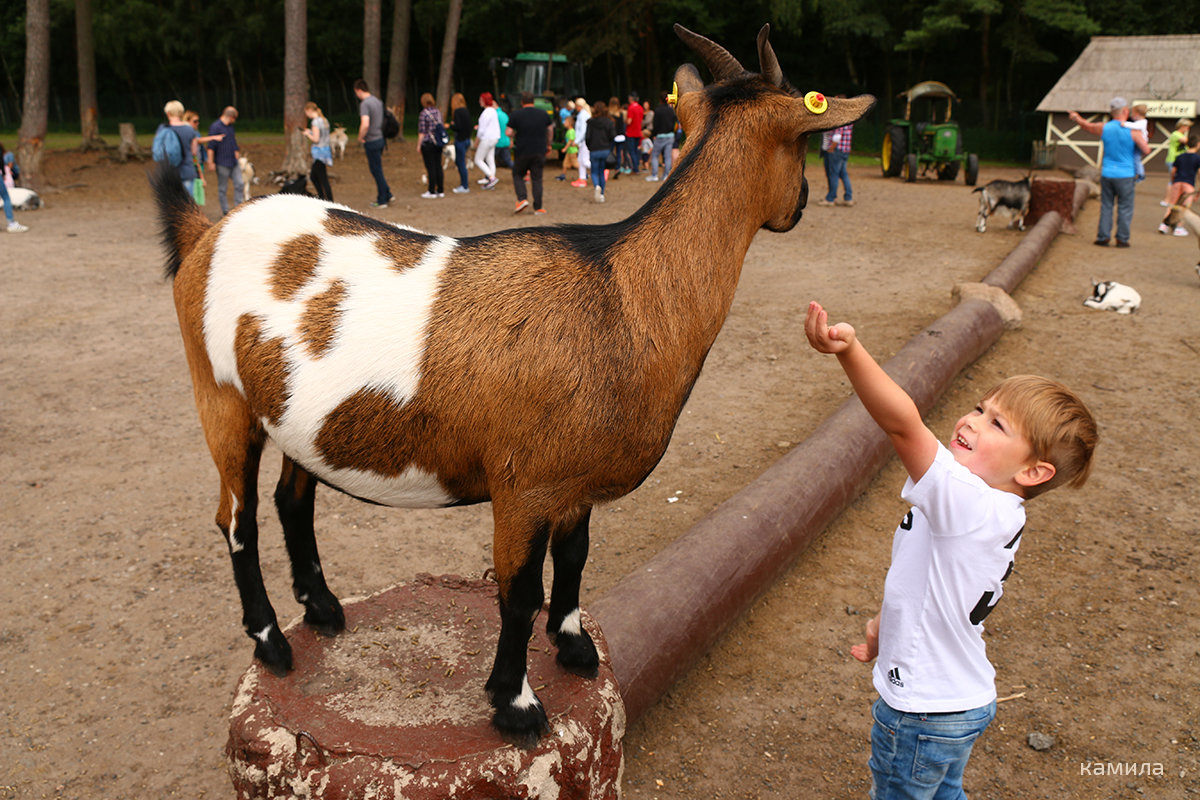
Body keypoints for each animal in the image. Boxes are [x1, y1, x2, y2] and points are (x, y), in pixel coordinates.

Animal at [154, 25, 878, 753]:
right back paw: (271, 640)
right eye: (803, 142)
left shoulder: (574, 484)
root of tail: (206, 231)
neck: (623, 294)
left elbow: (576, 557)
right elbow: (519, 591)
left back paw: (324, 609)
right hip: (219, 397)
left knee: (291, 501)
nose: (803, 202)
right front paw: (516, 704)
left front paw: (575, 647)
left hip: (297, 418)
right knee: (236, 518)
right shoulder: (523, 486)